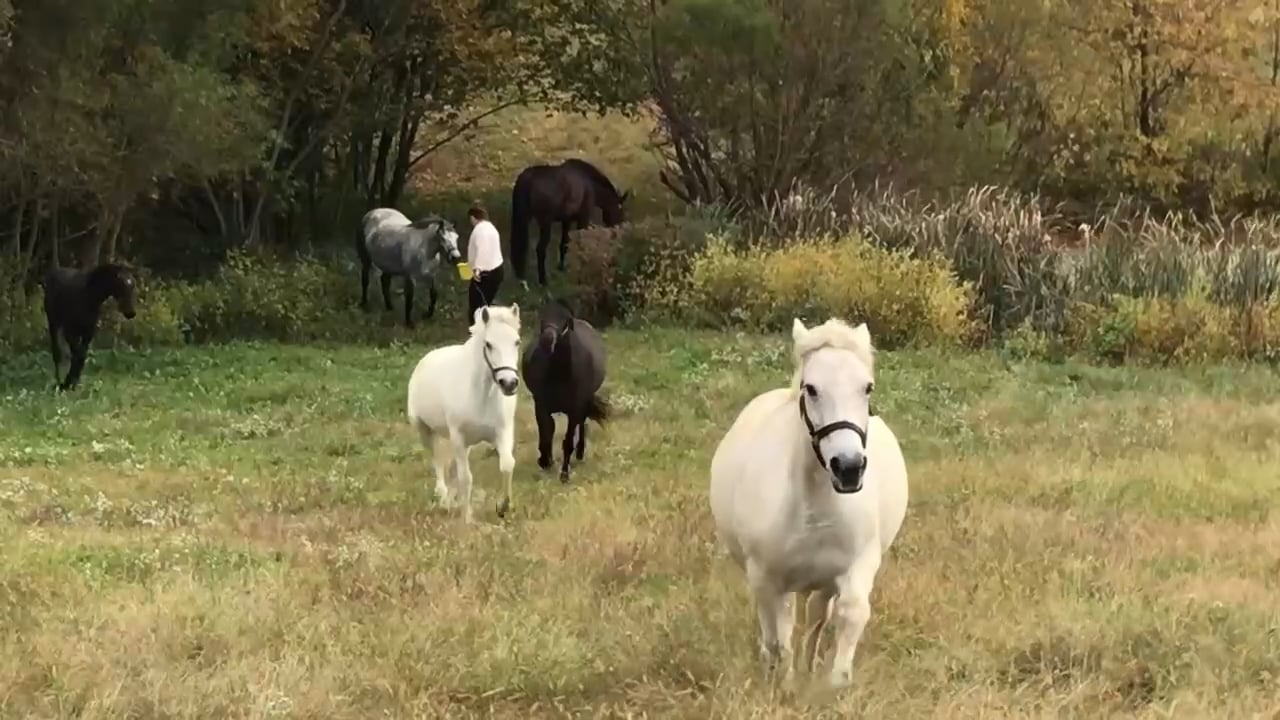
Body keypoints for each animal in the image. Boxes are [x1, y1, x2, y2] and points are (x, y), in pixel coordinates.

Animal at [42, 263, 138, 392]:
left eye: (133, 285)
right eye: (121, 284)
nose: (131, 313)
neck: (88, 296)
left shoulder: (88, 332)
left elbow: (81, 355)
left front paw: (73, 381)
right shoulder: (70, 332)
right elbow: (79, 354)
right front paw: (67, 383)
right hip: (54, 324)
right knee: (57, 353)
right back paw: (58, 381)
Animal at [406, 304, 522, 523]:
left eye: (517, 342)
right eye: (488, 344)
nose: (509, 383)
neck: (480, 394)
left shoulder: (502, 432)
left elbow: (507, 465)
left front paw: (503, 508)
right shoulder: (458, 437)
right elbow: (465, 477)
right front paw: (467, 517)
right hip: (424, 430)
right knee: (437, 461)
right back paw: (444, 500)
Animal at [509, 158, 630, 287]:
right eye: (620, 209)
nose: (619, 228)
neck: (590, 184)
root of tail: (528, 177)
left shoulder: (567, 220)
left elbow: (564, 244)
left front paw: (562, 268)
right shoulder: (583, 219)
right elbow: (581, 245)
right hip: (545, 224)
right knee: (540, 249)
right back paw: (543, 281)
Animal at [520, 297, 610, 481]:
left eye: (565, 319)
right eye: (543, 316)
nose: (547, 340)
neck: (559, 373)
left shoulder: (575, 407)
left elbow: (567, 440)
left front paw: (564, 474)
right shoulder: (541, 405)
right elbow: (546, 432)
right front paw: (545, 461)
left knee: (582, 424)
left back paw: (580, 453)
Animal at [708, 318, 909, 691]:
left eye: (867, 388)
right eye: (811, 388)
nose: (848, 468)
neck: (815, 508)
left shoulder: (859, 563)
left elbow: (851, 614)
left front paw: (836, 685)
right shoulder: (766, 576)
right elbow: (777, 636)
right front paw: (783, 684)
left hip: (824, 582)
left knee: (817, 616)